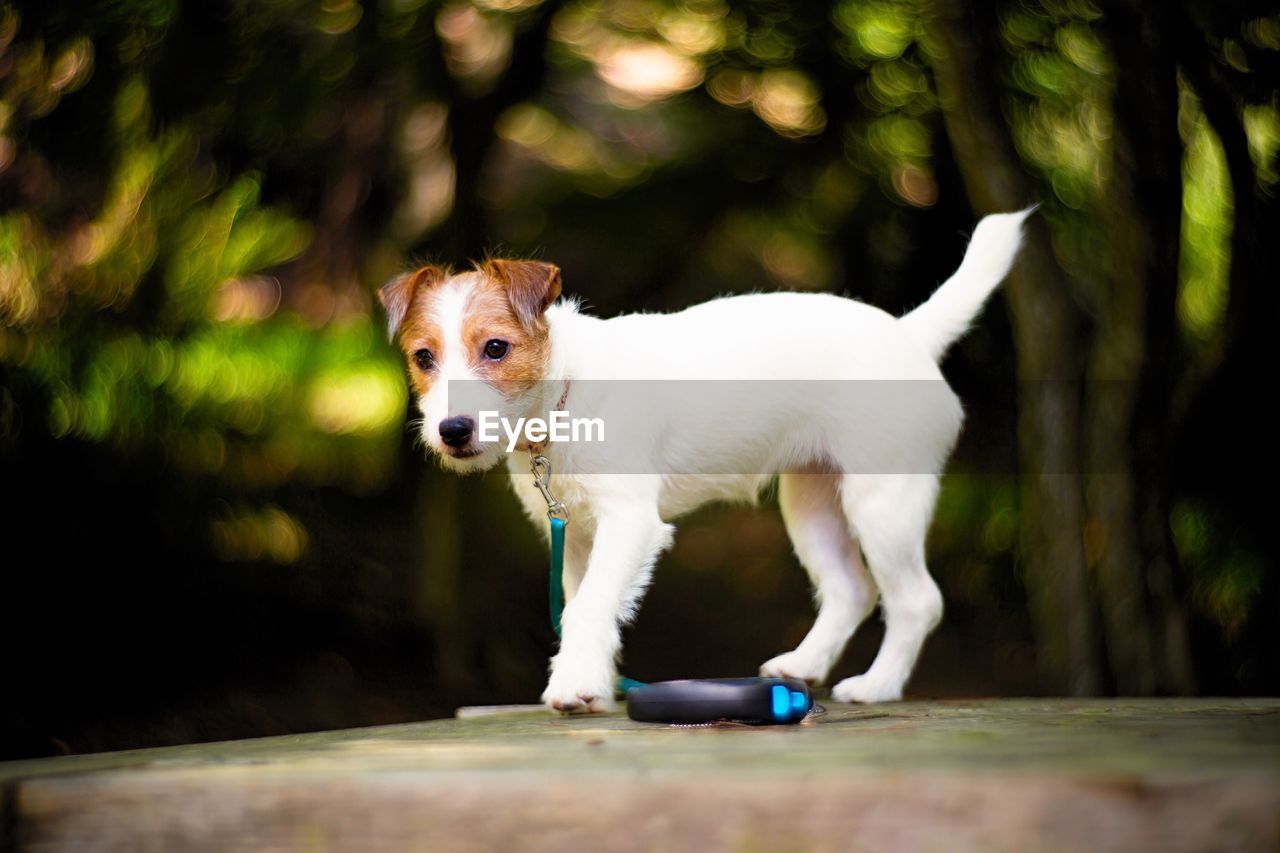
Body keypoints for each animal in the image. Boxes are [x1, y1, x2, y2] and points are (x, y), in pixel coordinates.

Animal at [376, 207, 1029, 712]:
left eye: (496, 348)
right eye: (424, 358)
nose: (452, 430)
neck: (565, 394)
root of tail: (909, 334)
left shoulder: (629, 522)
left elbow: (589, 608)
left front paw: (574, 685)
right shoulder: (580, 535)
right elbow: (591, 604)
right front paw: (594, 680)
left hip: (882, 501)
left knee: (916, 600)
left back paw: (876, 685)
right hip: (811, 501)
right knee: (851, 589)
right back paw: (802, 666)